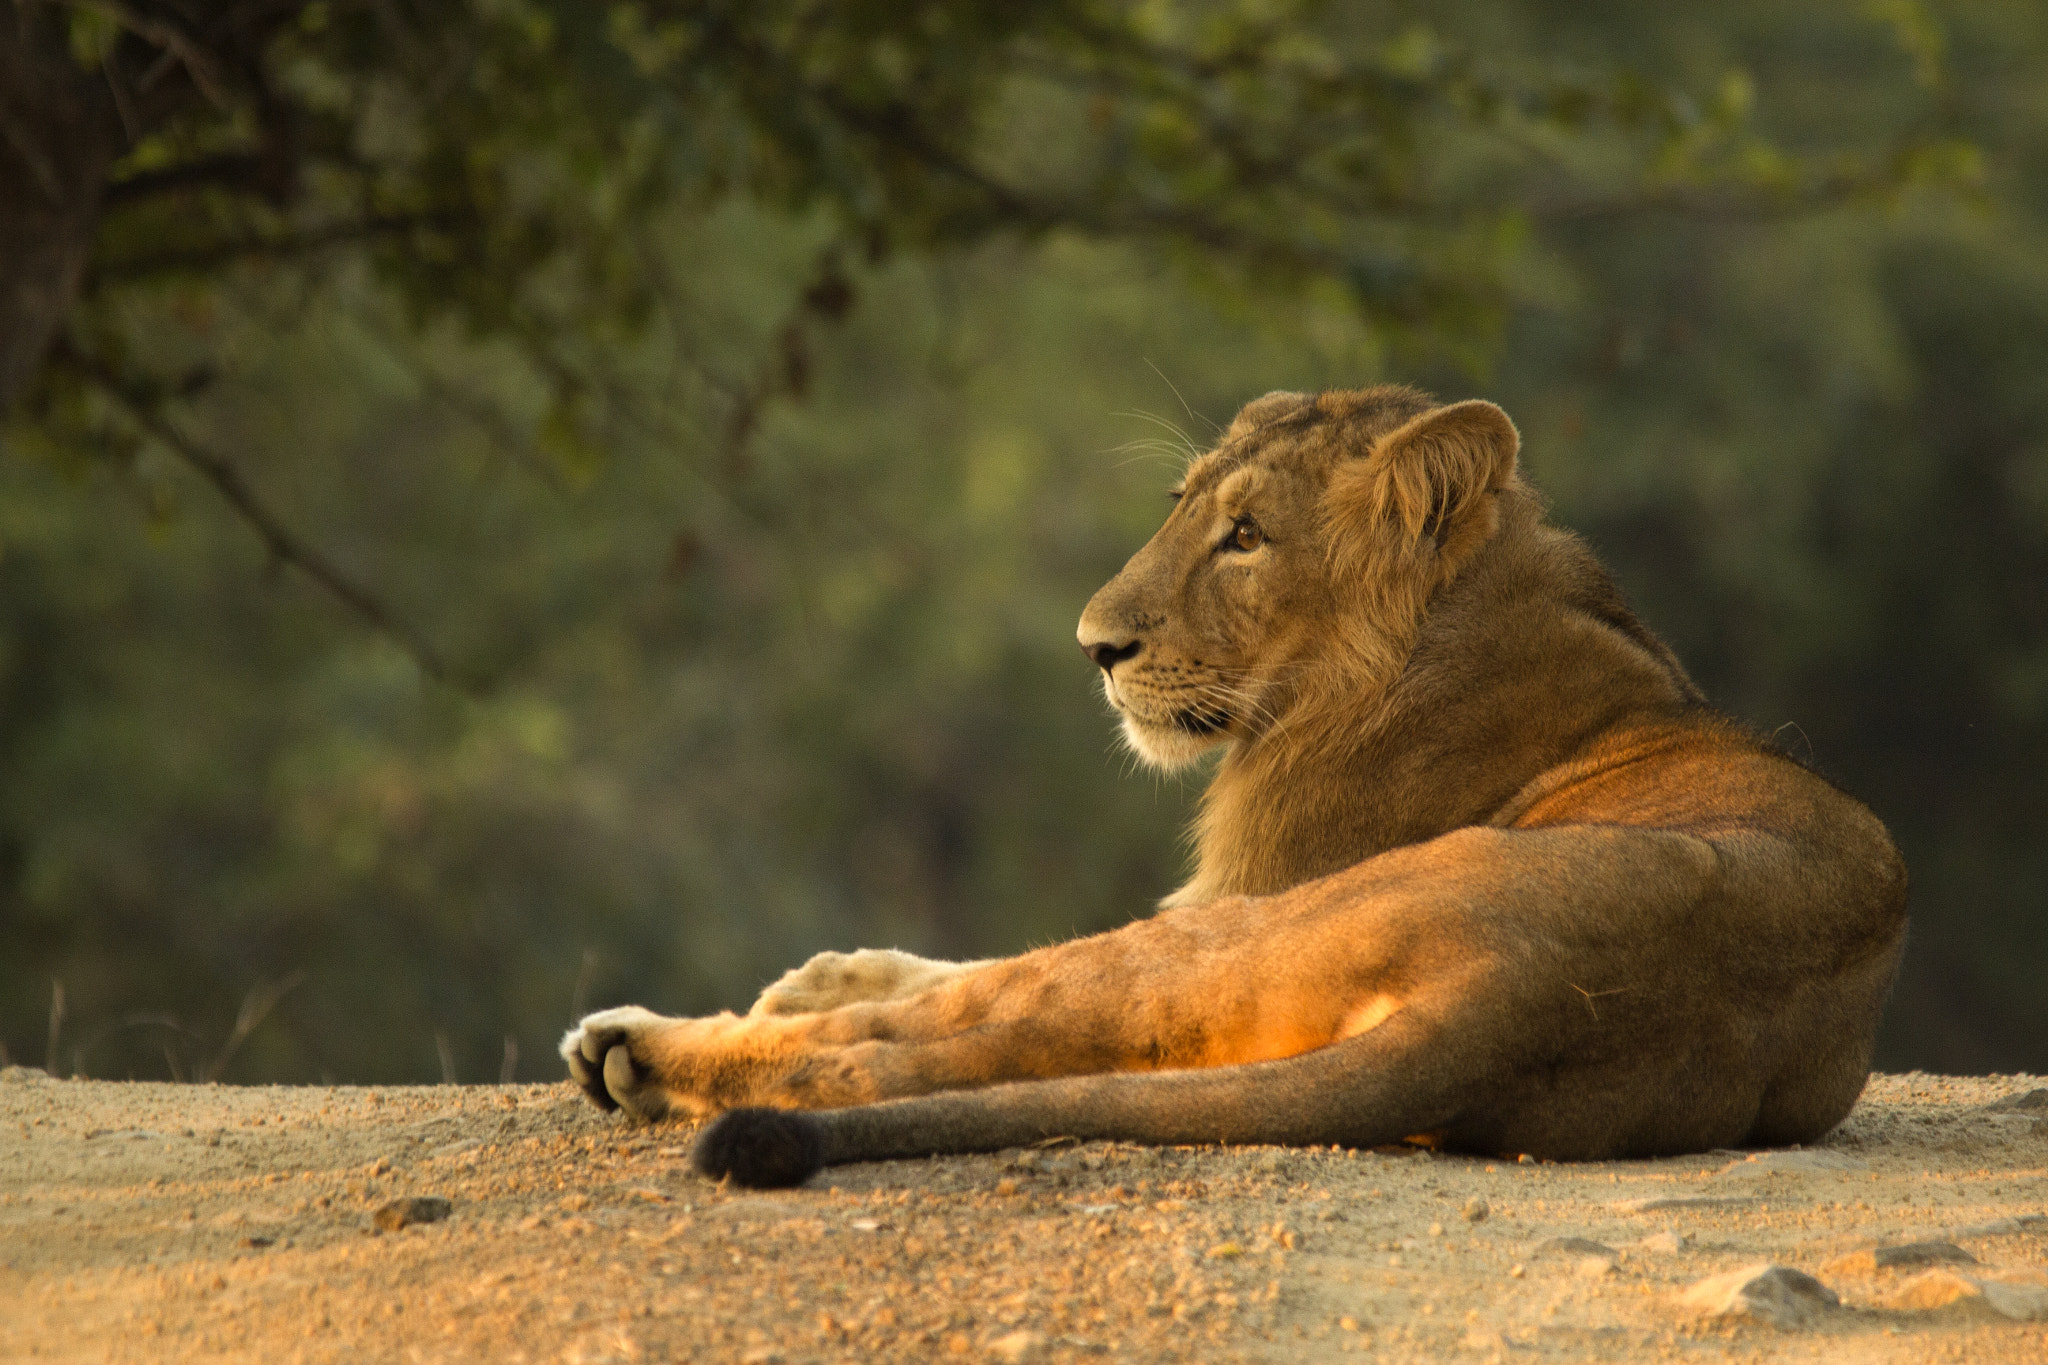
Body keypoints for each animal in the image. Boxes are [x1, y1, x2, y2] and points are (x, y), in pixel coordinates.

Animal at [561, 384, 1907, 1190]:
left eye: (1246, 538)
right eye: (1182, 510)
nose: (1093, 648)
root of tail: (1530, 996)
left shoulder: (1235, 887)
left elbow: (973, 980)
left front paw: (800, 993)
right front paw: (823, 970)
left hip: (1263, 930)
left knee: (893, 1059)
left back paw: (639, 1050)